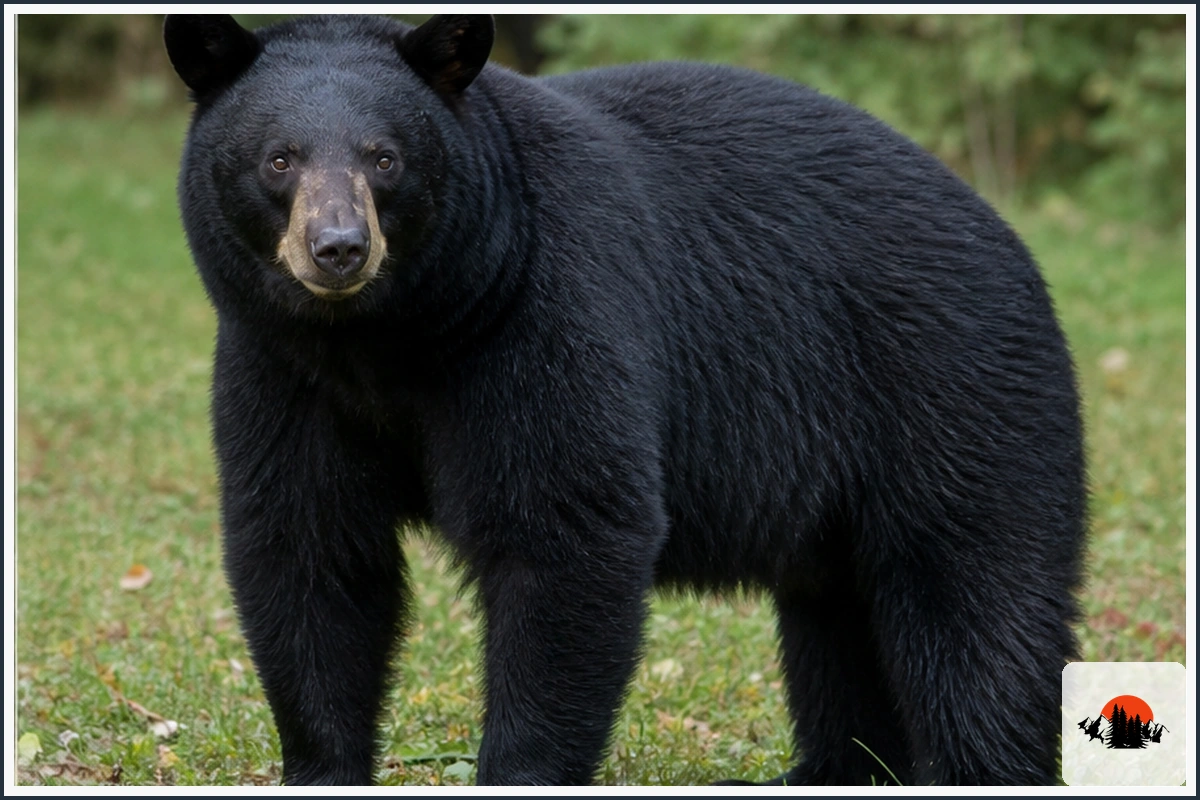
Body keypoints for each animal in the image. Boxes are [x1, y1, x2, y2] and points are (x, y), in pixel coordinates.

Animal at [163, 13, 1086, 786]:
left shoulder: (547, 312)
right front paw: (322, 764)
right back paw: (833, 769)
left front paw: (521, 769)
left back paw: (976, 764)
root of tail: (1005, 235)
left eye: (384, 157)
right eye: (279, 158)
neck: (386, 338)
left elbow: (565, 528)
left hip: (952, 392)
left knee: (974, 600)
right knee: (837, 614)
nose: (339, 248)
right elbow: (309, 547)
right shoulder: (282, 370)